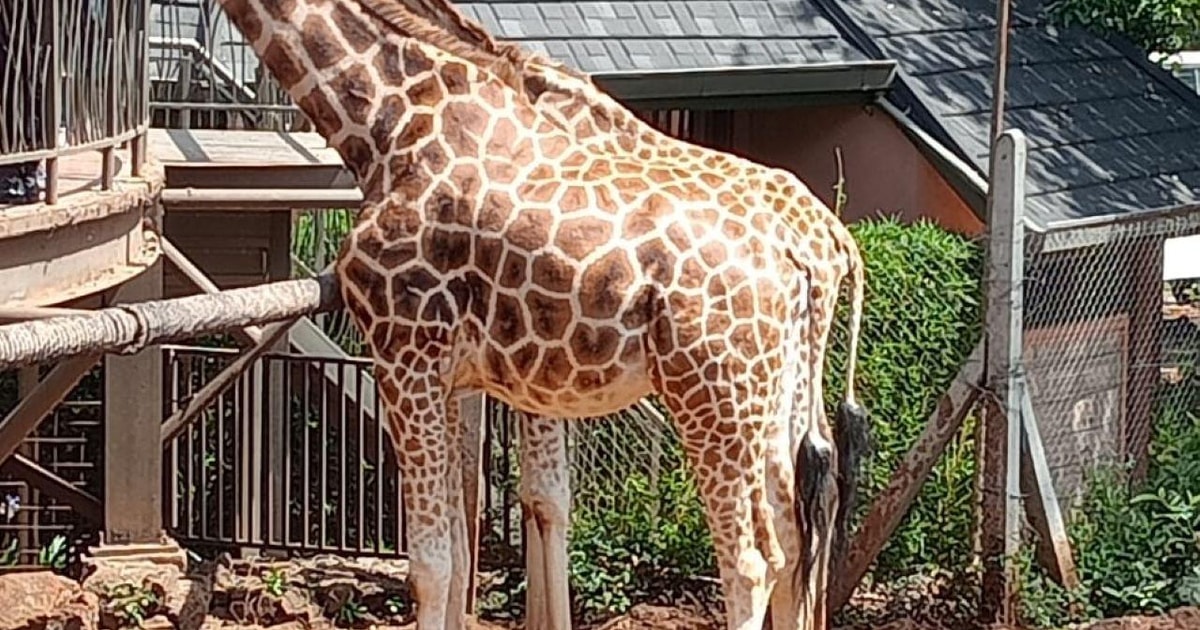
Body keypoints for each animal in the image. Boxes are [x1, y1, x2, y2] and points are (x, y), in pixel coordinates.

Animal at [216, 1, 849, 628]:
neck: (387, 123)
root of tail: (813, 250)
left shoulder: (405, 355)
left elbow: (437, 561)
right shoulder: (471, 375)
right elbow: (497, 526)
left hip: (716, 397)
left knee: (752, 560)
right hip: (777, 394)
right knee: (798, 533)